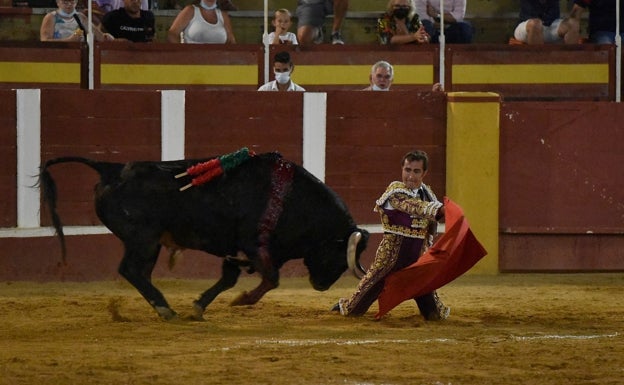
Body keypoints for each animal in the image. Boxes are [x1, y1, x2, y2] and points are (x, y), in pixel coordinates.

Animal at [37, 152, 370, 320]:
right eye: (337, 253)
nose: (322, 286)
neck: (290, 199)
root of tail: (111, 169)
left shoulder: (235, 251)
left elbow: (227, 280)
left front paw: (200, 307)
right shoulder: (254, 246)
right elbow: (271, 279)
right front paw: (243, 301)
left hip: (148, 243)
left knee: (137, 272)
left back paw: (165, 308)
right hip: (143, 239)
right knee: (130, 270)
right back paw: (165, 309)